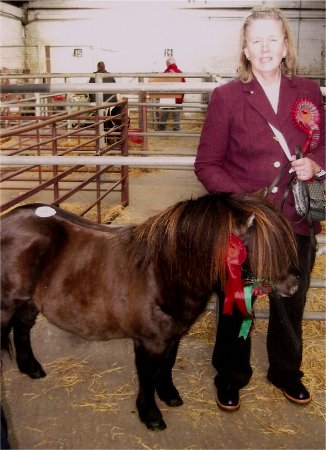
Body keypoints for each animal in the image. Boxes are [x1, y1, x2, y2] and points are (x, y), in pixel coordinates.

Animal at [0, 192, 300, 430]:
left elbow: (166, 367)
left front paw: (169, 395)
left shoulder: (173, 336)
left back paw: (32, 368)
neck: (161, 272)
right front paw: (151, 415)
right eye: (262, 249)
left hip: (28, 302)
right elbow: (147, 375)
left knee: (23, 328)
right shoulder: (149, 342)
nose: (294, 285)